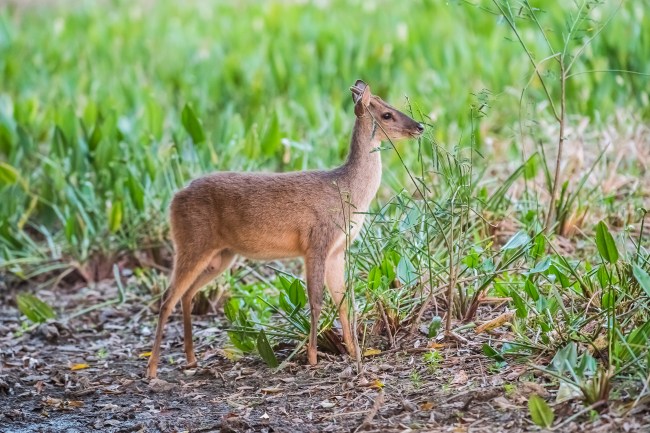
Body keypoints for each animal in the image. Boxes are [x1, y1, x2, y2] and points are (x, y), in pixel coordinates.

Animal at [146, 80, 424, 379]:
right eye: (387, 115)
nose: (419, 126)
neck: (346, 191)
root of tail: (174, 199)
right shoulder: (316, 242)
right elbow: (316, 300)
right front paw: (312, 357)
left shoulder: (337, 250)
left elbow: (342, 301)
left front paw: (352, 351)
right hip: (192, 242)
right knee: (167, 298)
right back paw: (152, 369)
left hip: (222, 255)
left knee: (186, 294)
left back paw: (191, 358)